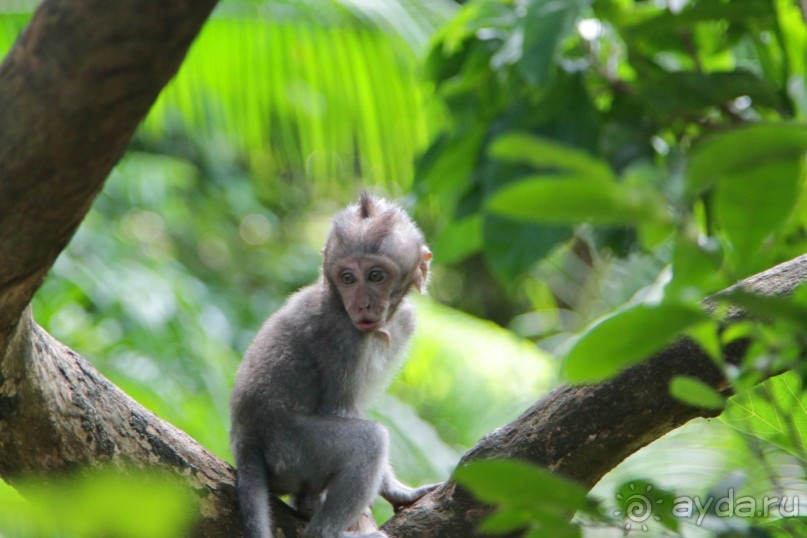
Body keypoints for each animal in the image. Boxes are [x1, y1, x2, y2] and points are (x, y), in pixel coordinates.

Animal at [230, 193, 438, 536]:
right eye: (348, 278)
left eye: (376, 276)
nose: (362, 304)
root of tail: (245, 441)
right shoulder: (342, 337)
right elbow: (341, 410)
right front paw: (392, 489)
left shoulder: (406, 322)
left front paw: (399, 492)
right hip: (292, 448)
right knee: (370, 442)